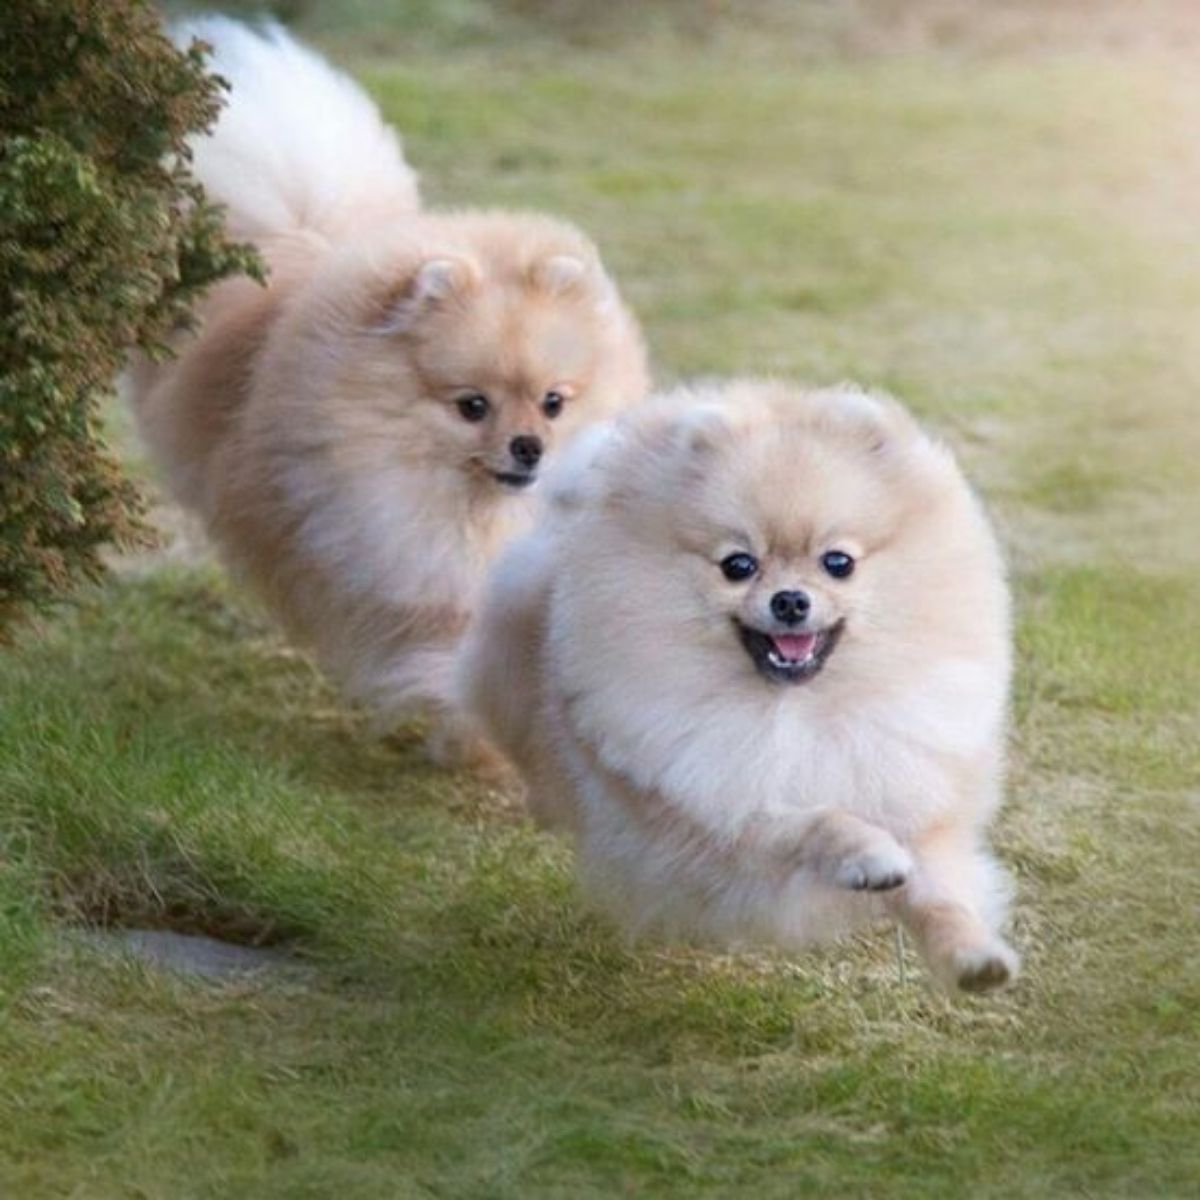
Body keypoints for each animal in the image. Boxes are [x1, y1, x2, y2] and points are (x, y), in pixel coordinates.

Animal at [458, 379, 1022, 988]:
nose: (791, 600)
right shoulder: (716, 806)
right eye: (738, 565)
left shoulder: (910, 790)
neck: (797, 711)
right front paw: (868, 854)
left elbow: (937, 891)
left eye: (838, 562)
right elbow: (815, 822)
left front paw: (974, 957)